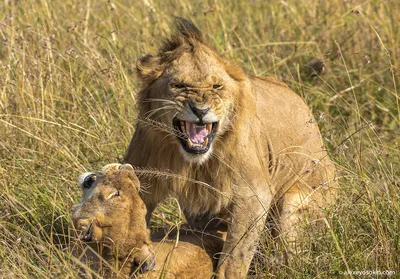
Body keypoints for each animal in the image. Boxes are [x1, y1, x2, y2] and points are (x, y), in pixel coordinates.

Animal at [125, 18, 338, 278]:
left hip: (298, 204)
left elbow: (235, 255)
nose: (201, 110)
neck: (191, 160)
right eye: (179, 85)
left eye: (217, 86)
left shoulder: (253, 193)